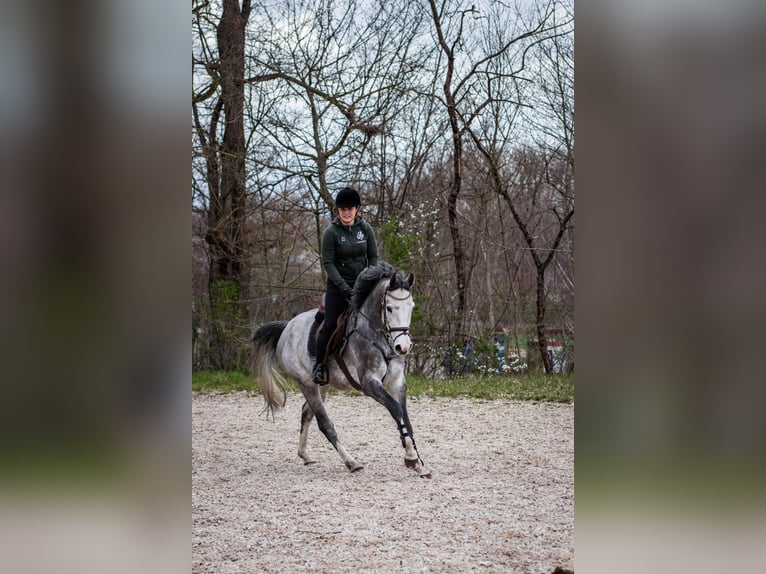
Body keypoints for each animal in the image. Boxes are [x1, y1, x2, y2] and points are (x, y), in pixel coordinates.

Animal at [250, 262, 431, 478]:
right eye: (389, 308)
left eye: (411, 306)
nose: (402, 347)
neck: (377, 335)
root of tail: (287, 327)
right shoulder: (370, 383)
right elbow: (396, 410)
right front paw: (411, 458)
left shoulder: (397, 382)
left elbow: (404, 416)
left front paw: (418, 462)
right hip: (306, 384)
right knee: (324, 424)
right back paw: (351, 462)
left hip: (322, 385)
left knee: (306, 413)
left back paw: (305, 455)